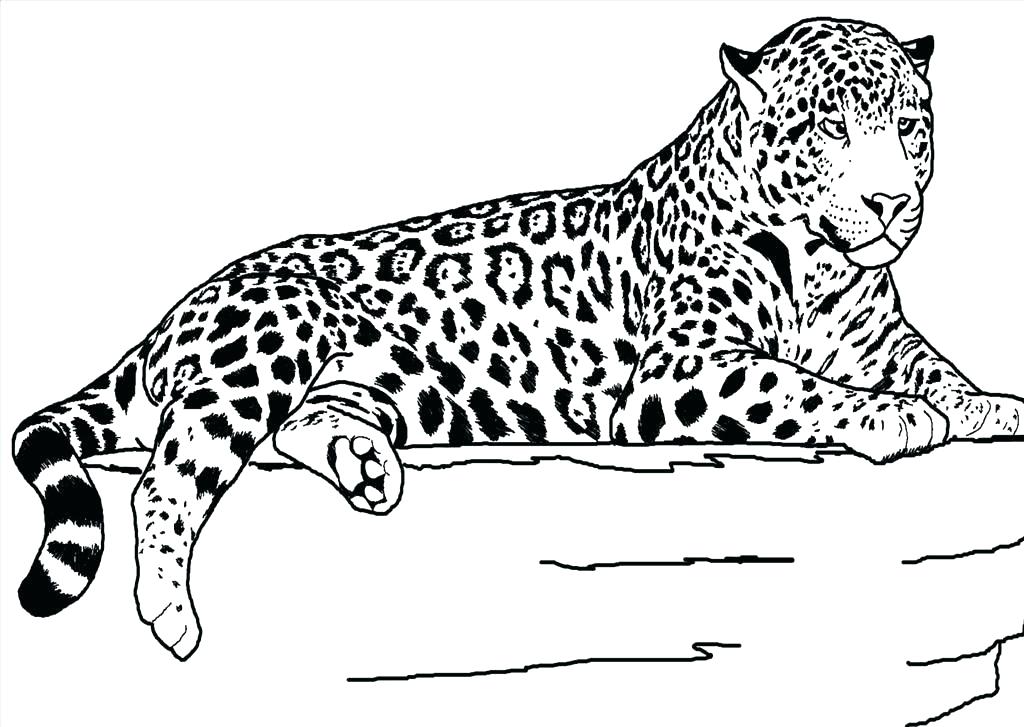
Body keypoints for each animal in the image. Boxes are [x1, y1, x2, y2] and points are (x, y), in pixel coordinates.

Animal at [12, 17, 1023, 661]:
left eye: (910, 128)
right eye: (827, 130)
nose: (891, 202)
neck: (819, 267)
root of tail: (178, 308)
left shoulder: (877, 334)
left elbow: (937, 368)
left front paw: (992, 405)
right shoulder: (677, 373)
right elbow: (793, 386)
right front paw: (888, 417)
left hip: (368, 383)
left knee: (291, 426)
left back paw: (366, 466)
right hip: (269, 341)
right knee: (169, 471)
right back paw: (168, 606)